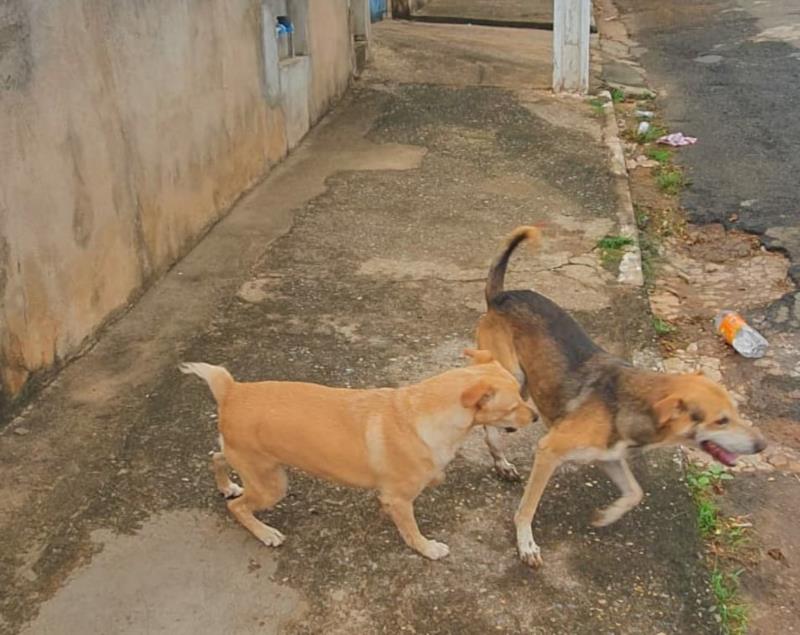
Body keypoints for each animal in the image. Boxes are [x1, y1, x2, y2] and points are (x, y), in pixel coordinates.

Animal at [178, 352, 536, 560]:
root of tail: (232, 389)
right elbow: (412, 532)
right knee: (238, 508)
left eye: (523, 394)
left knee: (216, 457)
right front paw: (428, 548)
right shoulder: (399, 500)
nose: (535, 417)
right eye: (513, 405)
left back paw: (227, 485)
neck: (424, 413)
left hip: (252, 464)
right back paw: (265, 532)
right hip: (271, 484)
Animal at [478, 226, 764, 568]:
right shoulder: (549, 451)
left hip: (524, 384)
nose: (761, 445)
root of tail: (500, 296)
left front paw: (606, 515)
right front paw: (526, 545)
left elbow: (635, 493)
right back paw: (501, 459)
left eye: (736, 411)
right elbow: (527, 508)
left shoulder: (609, 457)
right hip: (512, 375)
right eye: (721, 420)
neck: (633, 404)